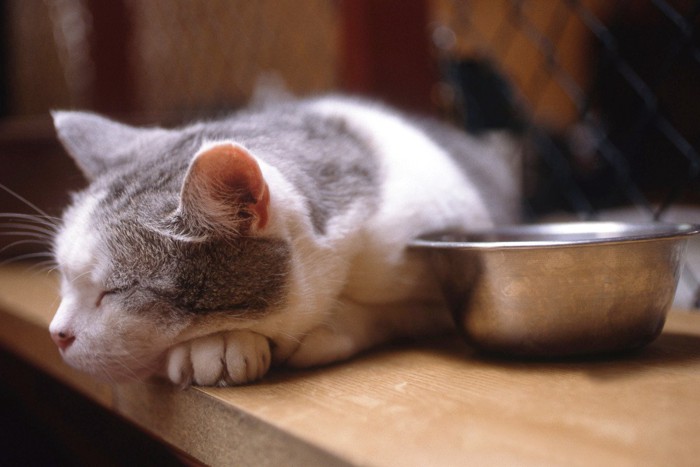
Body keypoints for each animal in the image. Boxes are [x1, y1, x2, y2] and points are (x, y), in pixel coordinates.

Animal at [45, 95, 520, 388]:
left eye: (116, 292)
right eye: (64, 279)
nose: (56, 335)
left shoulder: (427, 278)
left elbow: (379, 312)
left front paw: (312, 330)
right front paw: (218, 345)